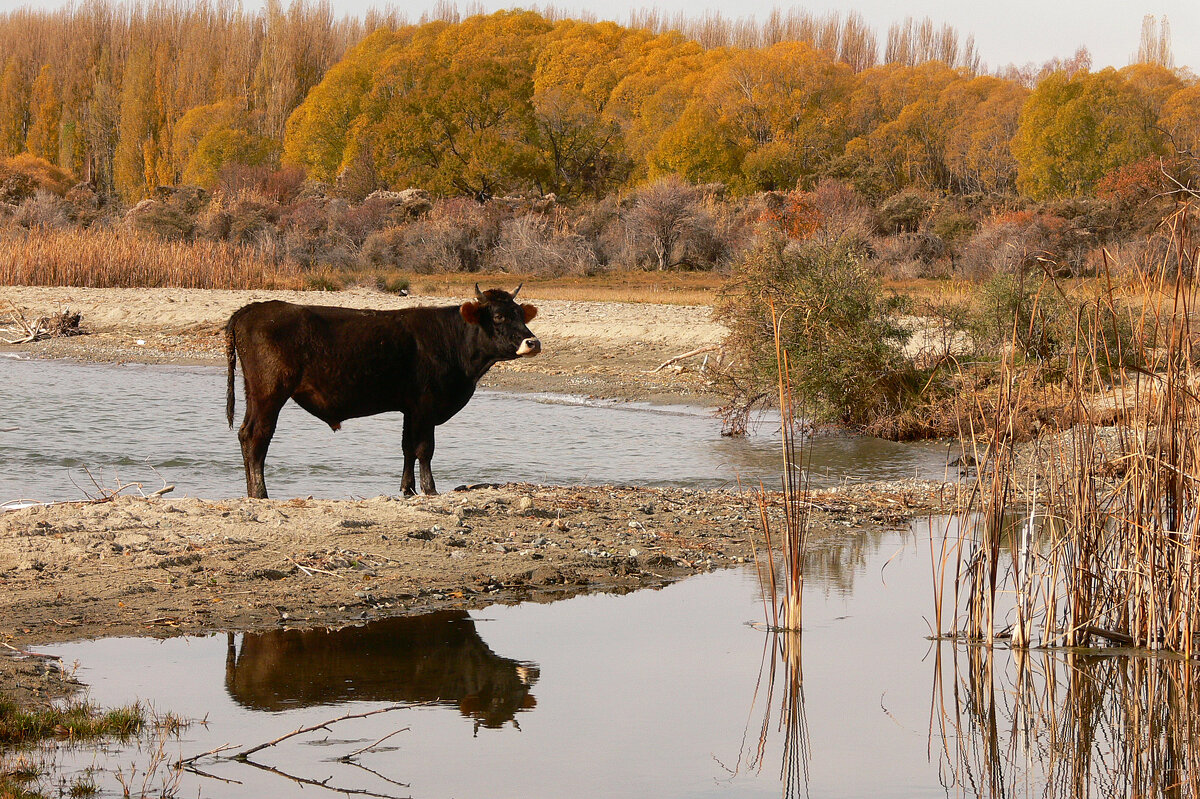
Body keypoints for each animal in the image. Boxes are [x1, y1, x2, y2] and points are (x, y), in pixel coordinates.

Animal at [224, 286, 540, 494]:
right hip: (269, 392)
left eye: (519, 315)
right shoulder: (425, 406)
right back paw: (260, 493)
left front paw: (407, 489)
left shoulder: (410, 408)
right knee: (257, 437)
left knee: (246, 434)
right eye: (498, 317)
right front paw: (430, 489)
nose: (532, 342)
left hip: (256, 394)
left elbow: (407, 448)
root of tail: (253, 308)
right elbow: (425, 449)